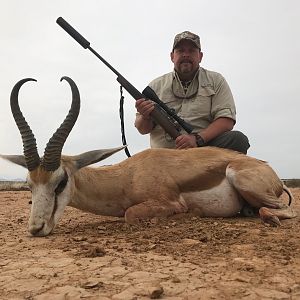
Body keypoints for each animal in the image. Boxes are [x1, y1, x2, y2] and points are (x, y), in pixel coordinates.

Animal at [0, 77, 296, 237]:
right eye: (29, 184)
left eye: (60, 182)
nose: (36, 228)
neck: (126, 177)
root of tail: (270, 171)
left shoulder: (167, 202)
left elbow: (131, 214)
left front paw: (190, 215)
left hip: (243, 179)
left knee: (286, 210)